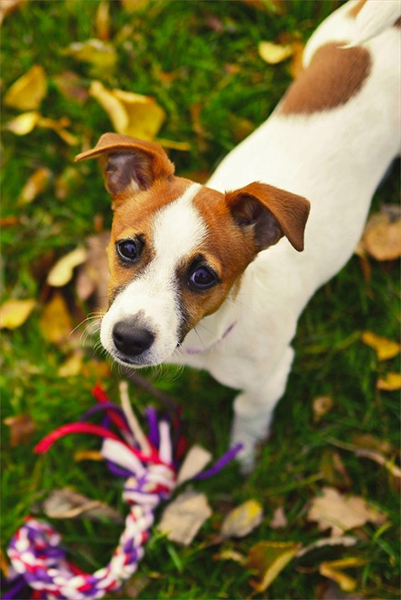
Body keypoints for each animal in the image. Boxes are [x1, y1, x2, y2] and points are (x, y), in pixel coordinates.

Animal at [76, 0, 400, 468]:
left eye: (203, 276)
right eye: (128, 248)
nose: (129, 339)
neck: (209, 335)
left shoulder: (270, 377)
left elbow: (247, 412)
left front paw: (243, 455)